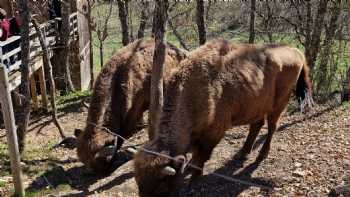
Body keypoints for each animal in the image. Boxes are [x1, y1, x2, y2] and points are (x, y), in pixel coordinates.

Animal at [133, 39, 312, 196]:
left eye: (160, 186)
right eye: (138, 183)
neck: (190, 93)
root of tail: (296, 51)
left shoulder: (214, 133)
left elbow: (202, 155)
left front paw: (194, 178)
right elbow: (195, 154)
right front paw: (190, 167)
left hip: (279, 104)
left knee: (272, 127)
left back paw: (261, 154)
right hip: (258, 105)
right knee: (257, 125)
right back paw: (243, 153)